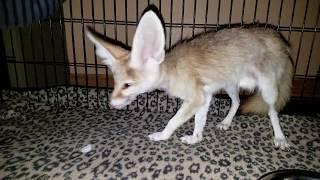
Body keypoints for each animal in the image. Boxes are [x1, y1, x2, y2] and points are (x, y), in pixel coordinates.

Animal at [85, 8, 292, 149]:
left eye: (127, 85)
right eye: (115, 84)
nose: (110, 103)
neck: (173, 71)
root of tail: (278, 39)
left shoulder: (196, 99)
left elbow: (173, 121)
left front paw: (162, 136)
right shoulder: (205, 97)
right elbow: (200, 122)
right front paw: (195, 138)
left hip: (267, 90)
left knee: (272, 111)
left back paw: (280, 137)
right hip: (229, 84)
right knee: (237, 102)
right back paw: (226, 122)